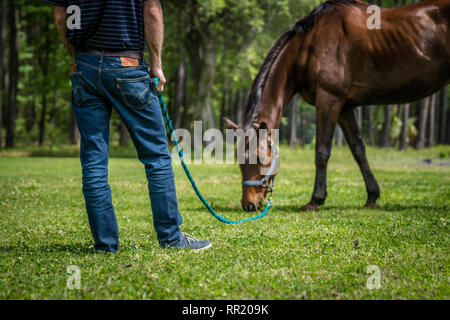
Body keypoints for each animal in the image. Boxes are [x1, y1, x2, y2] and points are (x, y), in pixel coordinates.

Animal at [223, 0, 448, 212]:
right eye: (239, 160)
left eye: (260, 159)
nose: (249, 205)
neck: (309, 45)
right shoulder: (344, 107)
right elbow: (358, 149)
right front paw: (372, 196)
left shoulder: (329, 101)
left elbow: (322, 151)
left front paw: (315, 199)